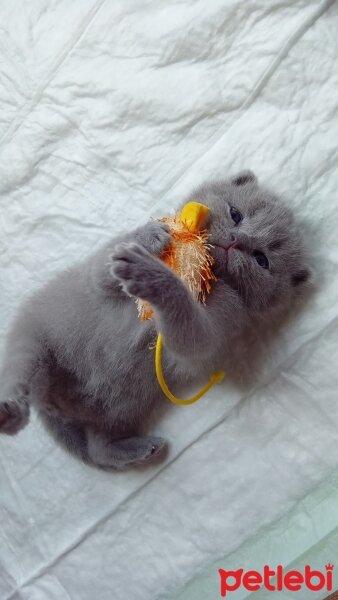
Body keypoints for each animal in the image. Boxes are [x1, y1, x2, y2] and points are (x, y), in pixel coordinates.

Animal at [0, 171, 308, 472]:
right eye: (236, 214)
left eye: (261, 259)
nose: (236, 240)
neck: (210, 270)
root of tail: (52, 404)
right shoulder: (93, 277)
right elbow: (102, 269)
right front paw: (150, 236)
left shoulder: (222, 320)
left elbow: (193, 337)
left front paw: (153, 276)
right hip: (32, 343)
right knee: (19, 372)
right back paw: (10, 409)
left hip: (117, 411)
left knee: (98, 446)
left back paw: (136, 450)